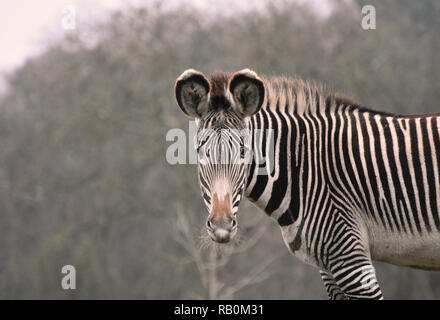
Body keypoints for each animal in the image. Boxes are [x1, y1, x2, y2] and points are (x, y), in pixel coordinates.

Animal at [174, 68, 440, 300]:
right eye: (199, 152)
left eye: (243, 151)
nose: (221, 225)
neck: (304, 167)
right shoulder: (330, 265)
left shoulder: (351, 257)